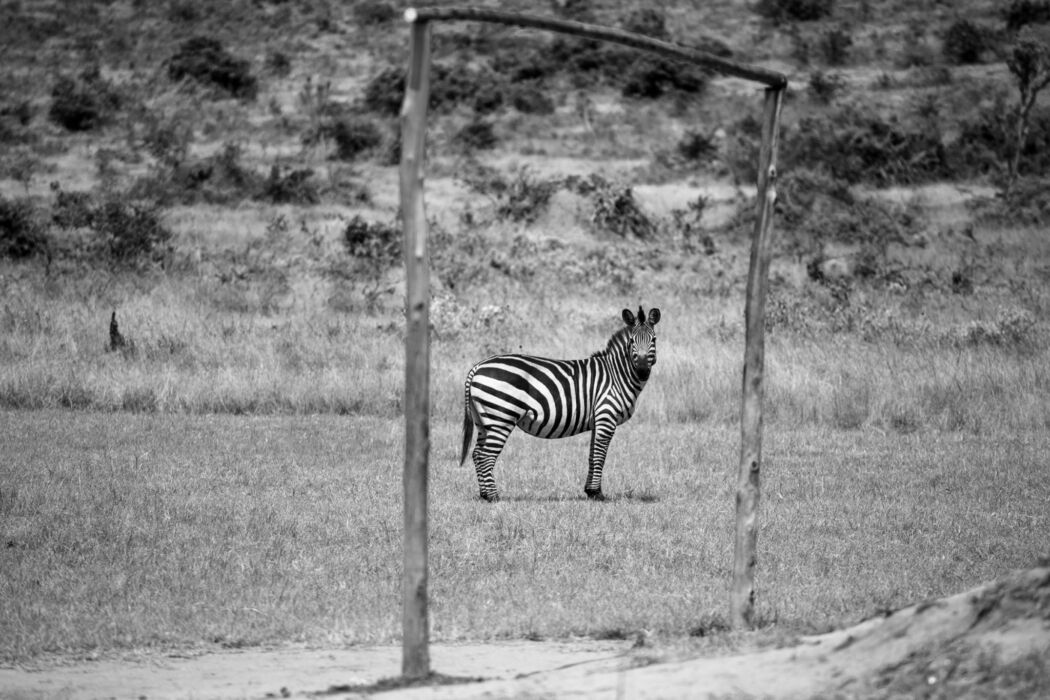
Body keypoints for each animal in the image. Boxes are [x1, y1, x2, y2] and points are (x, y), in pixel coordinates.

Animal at [460, 306, 660, 502]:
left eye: (654, 340)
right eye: (632, 341)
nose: (643, 370)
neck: (616, 375)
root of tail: (478, 366)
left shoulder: (597, 420)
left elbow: (591, 455)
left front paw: (590, 491)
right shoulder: (606, 416)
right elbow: (600, 456)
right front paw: (598, 494)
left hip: (483, 419)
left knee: (477, 454)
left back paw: (484, 495)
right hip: (501, 416)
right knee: (486, 456)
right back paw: (494, 497)